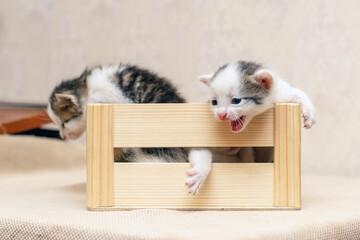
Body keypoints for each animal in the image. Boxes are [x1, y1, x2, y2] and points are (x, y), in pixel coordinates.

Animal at [184, 61, 316, 194]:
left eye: (236, 100)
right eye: (214, 102)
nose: (221, 114)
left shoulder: (280, 94)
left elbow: (297, 92)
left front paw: (309, 111)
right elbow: (200, 151)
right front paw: (200, 173)